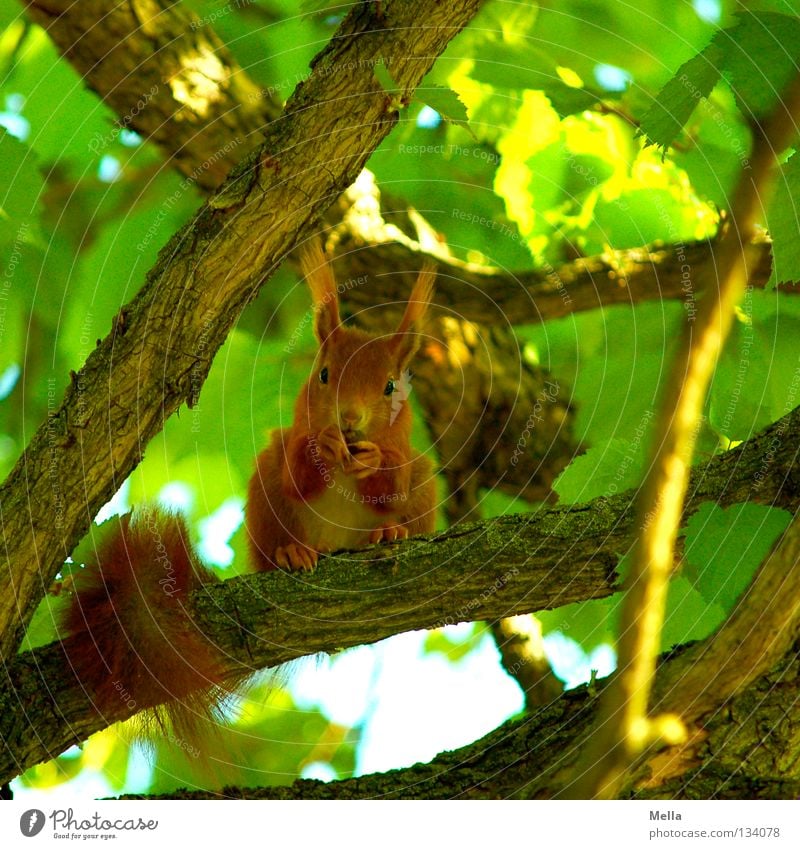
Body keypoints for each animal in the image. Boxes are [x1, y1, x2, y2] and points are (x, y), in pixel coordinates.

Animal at [61, 240, 438, 748]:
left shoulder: (405, 454)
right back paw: (292, 554)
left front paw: (374, 461)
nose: (348, 421)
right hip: (264, 493)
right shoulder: (289, 450)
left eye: (390, 386)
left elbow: (390, 481)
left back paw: (389, 533)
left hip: (425, 483)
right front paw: (322, 447)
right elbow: (298, 475)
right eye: (323, 375)